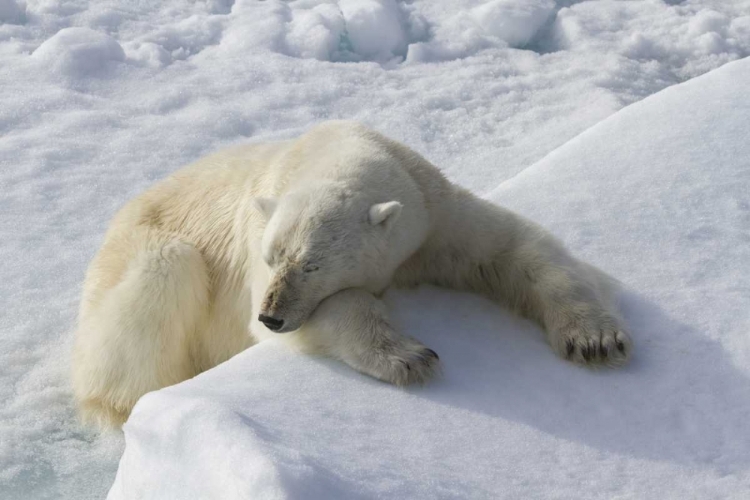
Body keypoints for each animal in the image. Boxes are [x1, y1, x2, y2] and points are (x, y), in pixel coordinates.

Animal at [70, 119, 636, 428]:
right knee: (160, 286)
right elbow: (340, 308)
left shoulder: (431, 212)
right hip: (137, 259)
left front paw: (594, 340)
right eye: (273, 258)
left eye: (312, 263)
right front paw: (410, 357)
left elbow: (510, 248)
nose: (272, 316)